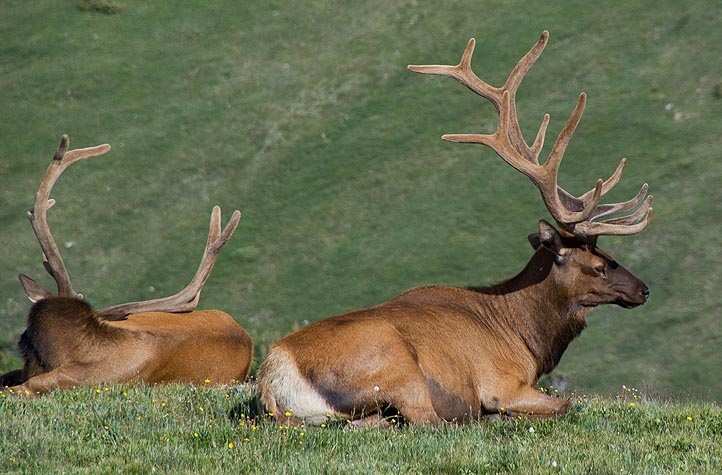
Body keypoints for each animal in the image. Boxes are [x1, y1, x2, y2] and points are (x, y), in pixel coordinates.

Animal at [258, 31, 652, 426]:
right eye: (599, 266)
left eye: (609, 254)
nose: (644, 290)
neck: (525, 339)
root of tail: (273, 378)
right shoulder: (501, 382)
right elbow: (568, 403)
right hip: (399, 367)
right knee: (426, 420)